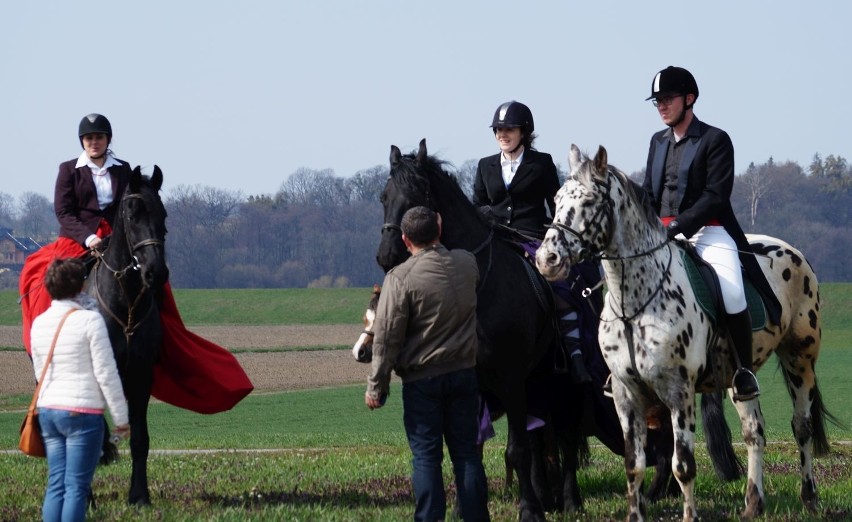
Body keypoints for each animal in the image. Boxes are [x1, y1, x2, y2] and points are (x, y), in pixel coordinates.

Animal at [376, 140, 616, 516]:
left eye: (417, 195)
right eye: (384, 196)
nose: (387, 256)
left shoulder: (510, 377)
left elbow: (516, 450)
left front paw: (529, 510)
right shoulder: (470, 384)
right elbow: (469, 449)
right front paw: (466, 508)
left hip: (562, 385)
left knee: (564, 435)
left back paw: (569, 501)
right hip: (537, 381)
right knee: (540, 436)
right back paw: (546, 496)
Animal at [536, 143, 836, 520]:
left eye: (589, 201)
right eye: (557, 199)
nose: (546, 259)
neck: (634, 303)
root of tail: (793, 251)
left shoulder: (679, 392)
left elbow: (683, 466)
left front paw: (689, 514)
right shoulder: (626, 393)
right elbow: (634, 465)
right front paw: (635, 513)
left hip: (800, 358)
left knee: (802, 426)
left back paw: (809, 497)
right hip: (740, 376)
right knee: (754, 432)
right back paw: (753, 503)